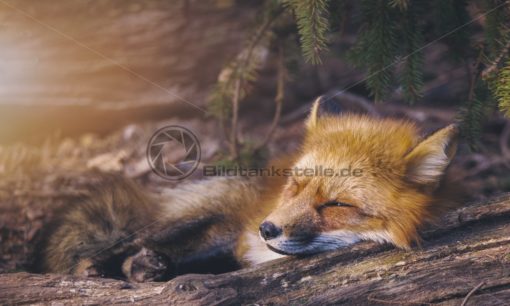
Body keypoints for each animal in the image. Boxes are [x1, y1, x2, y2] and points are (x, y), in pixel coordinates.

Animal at [35, 98, 458, 282]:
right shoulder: (234, 238)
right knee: (136, 240)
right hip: (205, 220)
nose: (267, 229)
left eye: (336, 204)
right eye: (296, 186)